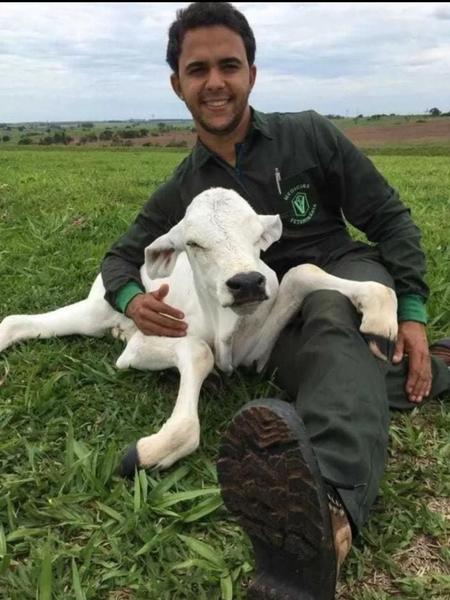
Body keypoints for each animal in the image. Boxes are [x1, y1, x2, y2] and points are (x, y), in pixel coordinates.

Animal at [0, 186, 398, 474]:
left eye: (257, 235)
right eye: (193, 243)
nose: (246, 282)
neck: (224, 325)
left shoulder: (257, 352)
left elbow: (303, 273)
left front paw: (379, 313)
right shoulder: (140, 346)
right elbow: (197, 350)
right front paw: (154, 447)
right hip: (95, 311)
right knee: (18, 321)